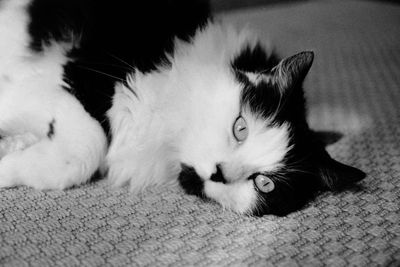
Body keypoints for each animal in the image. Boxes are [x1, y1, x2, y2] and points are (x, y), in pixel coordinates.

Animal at [0, 0, 366, 217]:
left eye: (265, 184)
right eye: (241, 127)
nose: (220, 173)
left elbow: (66, 161)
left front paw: (9, 161)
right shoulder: (76, 76)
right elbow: (88, 145)